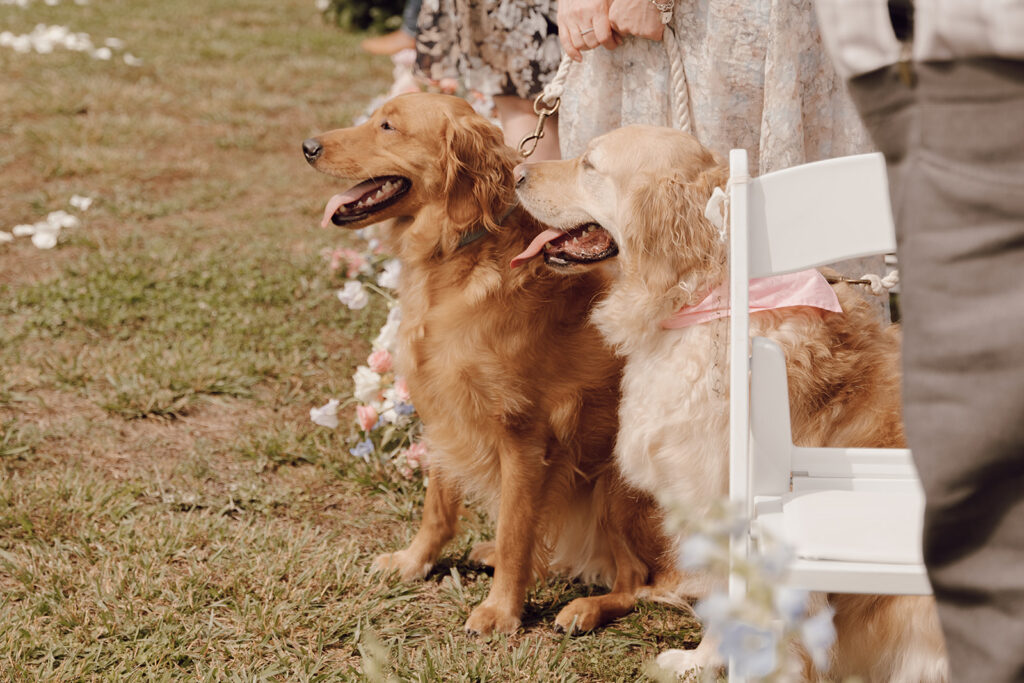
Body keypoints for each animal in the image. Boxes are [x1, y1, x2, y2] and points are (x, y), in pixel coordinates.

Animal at [303, 94, 688, 634]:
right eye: (376, 118)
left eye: (388, 127)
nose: (308, 146)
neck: (455, 261)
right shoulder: (444, 413)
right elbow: (438, 509)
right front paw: (414, 561)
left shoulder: (523, 436)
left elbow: (515, 532)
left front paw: (500, 610)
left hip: (615, 485)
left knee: (634, 579)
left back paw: (585, 608)